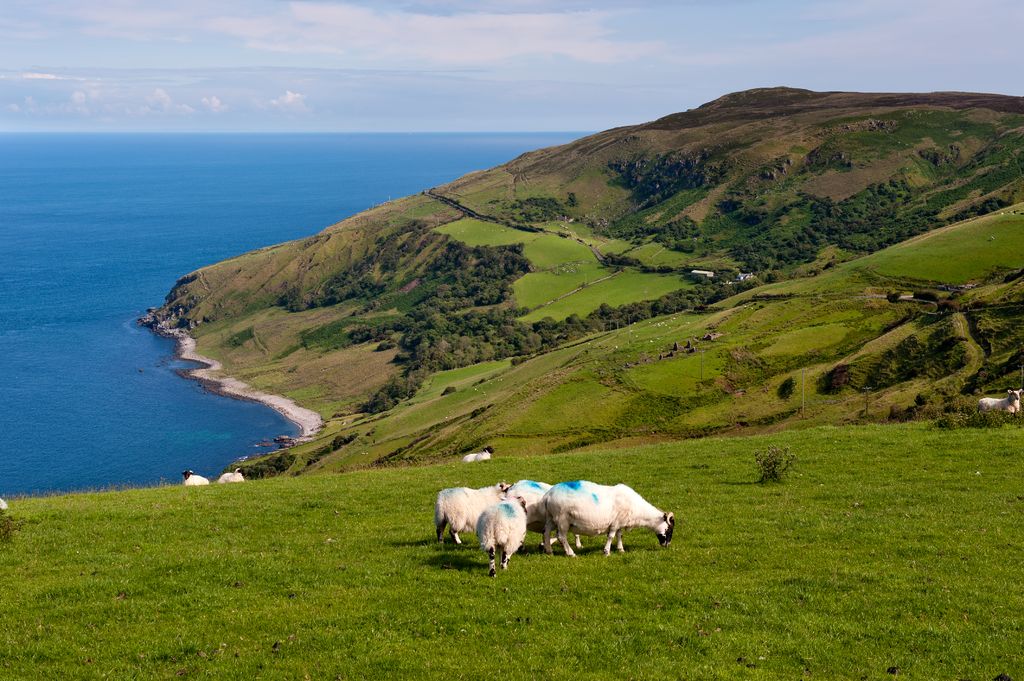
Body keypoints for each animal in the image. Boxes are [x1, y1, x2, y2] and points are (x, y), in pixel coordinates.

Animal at [540, 477, 675, 557]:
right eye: (669, 529)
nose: (667, 545)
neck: (637, 509)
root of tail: (548, 495)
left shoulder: (620, 522)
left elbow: (620, 535)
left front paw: (621, 549)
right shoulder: (615, 522)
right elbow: (611, 536)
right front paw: (606, 552)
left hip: (551, 517)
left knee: (546, 532)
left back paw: (549, 551)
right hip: (562, 519)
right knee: (561, 537)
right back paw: (571, 553)